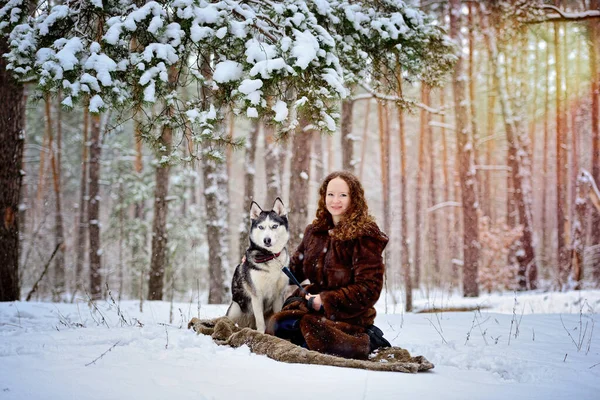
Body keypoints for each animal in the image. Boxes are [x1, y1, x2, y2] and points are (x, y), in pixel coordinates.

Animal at [225, 198, 290, 332]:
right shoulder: (256, 295)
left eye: (274, 226)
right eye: (261, 227)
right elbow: (260, 320)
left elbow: (277, 315)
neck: (270, 256)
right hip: (236, 308)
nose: (267, 240)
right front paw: (260, 333)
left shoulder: (278, 296)